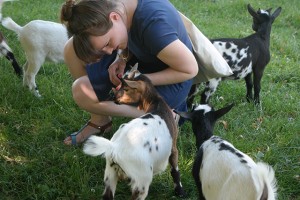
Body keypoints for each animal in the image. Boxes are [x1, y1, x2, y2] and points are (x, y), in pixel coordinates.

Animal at [82, 66, 185, 199]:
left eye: (126, 88)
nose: (114, 98)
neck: (157, 105)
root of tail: (115, 147)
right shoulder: (173, 147)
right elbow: (175, 170)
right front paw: (179, 191)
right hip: (142, 180)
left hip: (110, 172)